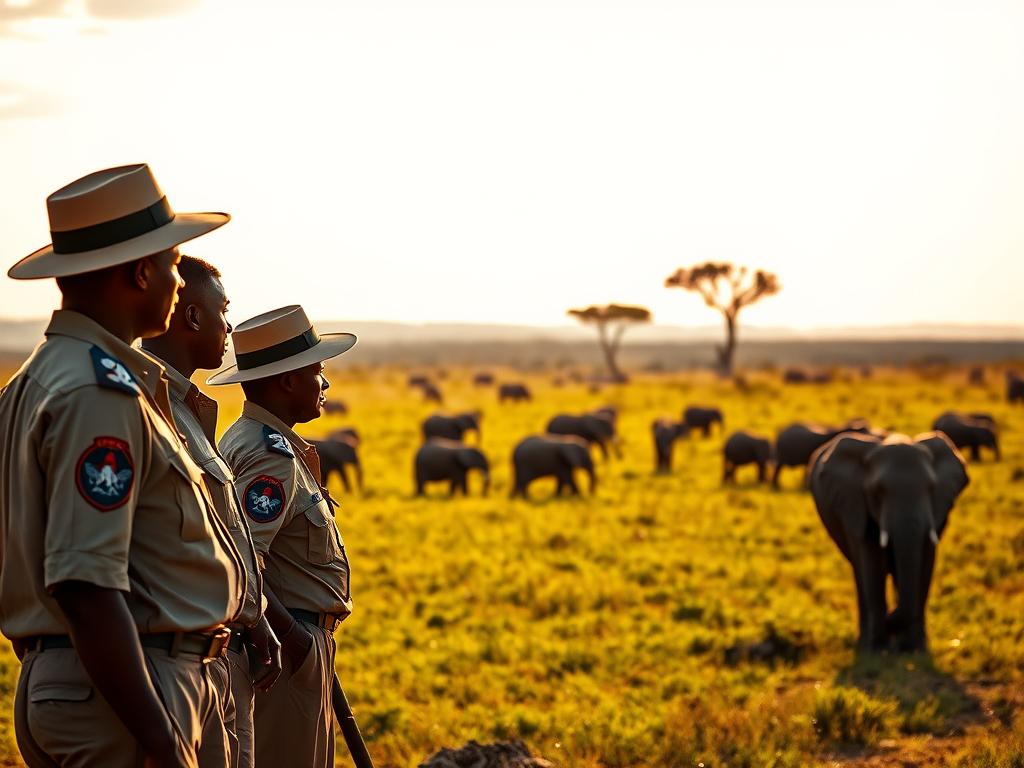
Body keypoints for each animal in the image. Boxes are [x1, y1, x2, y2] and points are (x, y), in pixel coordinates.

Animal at [809, 431, 969, 652]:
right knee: (861, 574)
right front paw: (878, 649)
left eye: (931, 488)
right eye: (878, 491)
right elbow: (873, 567)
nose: (890, 614)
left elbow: (925, 567)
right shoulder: (856, 503)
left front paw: (915, 649)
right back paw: (866, 642)